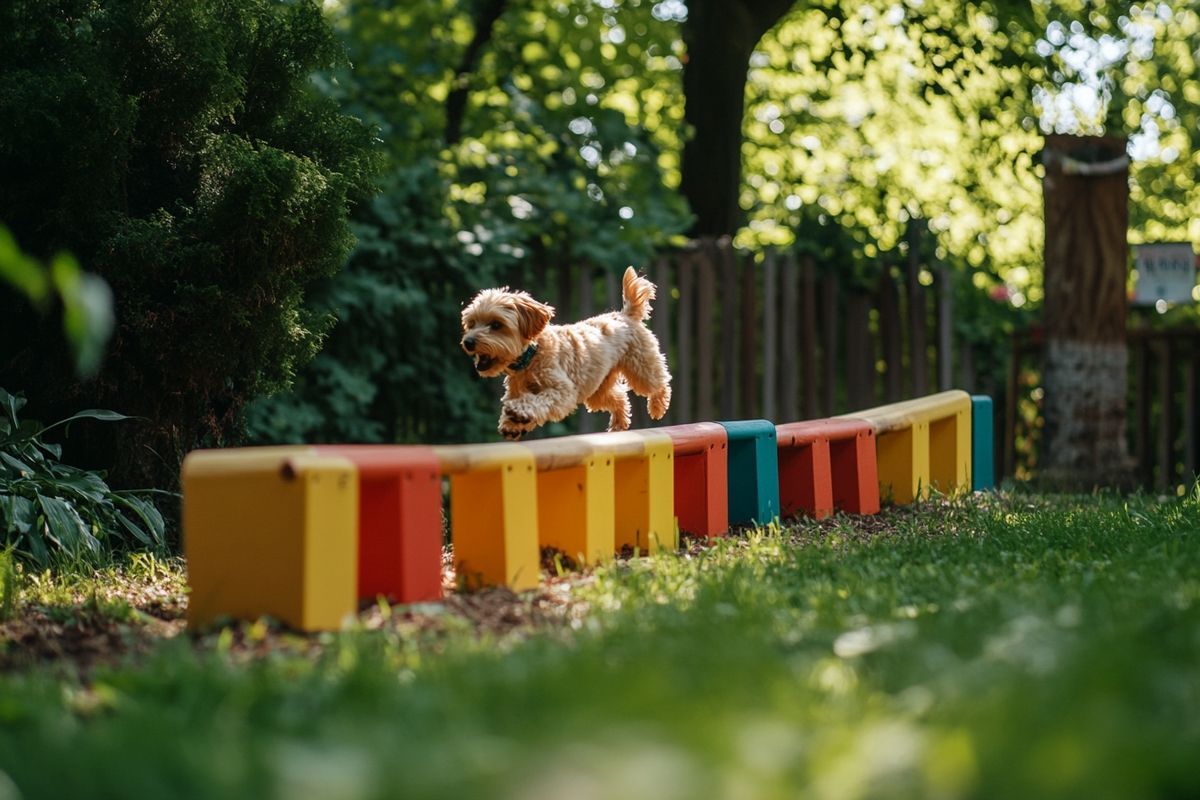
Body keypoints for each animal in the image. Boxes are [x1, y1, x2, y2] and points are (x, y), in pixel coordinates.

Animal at [458, 271, 672, 443]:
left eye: (496, 324)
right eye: (471, 323)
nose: (468, 342)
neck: (531, 356)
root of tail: (625, 315)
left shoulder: (563, 391)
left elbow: (538, 401)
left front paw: (518, 411)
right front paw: (512, 423)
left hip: (641, 368)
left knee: (660, 383)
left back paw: (657, 407)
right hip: (597, 390)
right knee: (619, 398)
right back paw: (619, 424)